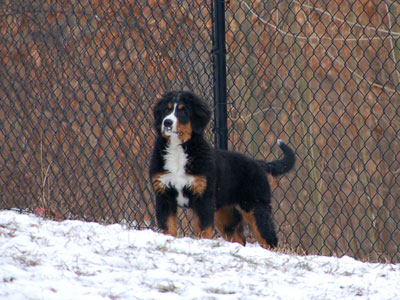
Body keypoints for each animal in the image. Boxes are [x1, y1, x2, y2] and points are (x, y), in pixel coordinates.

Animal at [148, 91, 296, 248]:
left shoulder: (203, 198)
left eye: (183, 111)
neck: (178, 149)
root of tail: (258, 163)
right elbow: (167, 227)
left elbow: (203, 229)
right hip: (226, 215)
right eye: (167, 109)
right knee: (239, 239)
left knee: (268, 238)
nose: (167, 122)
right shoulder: (164, 195)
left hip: (256, 206)